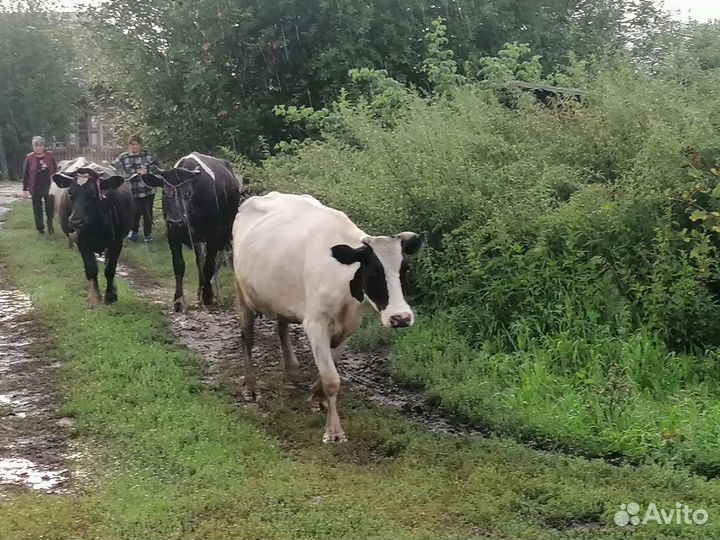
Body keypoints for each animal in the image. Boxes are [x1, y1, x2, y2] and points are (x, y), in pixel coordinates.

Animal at [52, 158, 133, 307]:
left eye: (93, 194)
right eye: (70, 193)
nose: (75, 221)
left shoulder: (117, 241)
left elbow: (110, 269)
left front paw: (110, 295)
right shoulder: (82, 241)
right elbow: (91, 269)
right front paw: (95, 298)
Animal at [140, 152, 241, 312]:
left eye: (188, 193)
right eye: (164, 192)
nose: (176, 221)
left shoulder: (212, 236)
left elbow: (209, 265)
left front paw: (208, 295)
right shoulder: (172, 234)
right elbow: (179, 265)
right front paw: (179, 299)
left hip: (226, 233)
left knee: (222, 260)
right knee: (200, 259)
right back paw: (201, 291)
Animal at [231, 192, 423, 443]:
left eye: (405, 270)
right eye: (373, 272)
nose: (400, 317)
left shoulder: (350, 327)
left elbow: (330, 369)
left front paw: (316, 397)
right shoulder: (316, 325)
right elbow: (332, 379)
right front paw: (333, 431)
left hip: (281, 295)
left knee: (281, 326)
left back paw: (291, 371)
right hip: (243, 294)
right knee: (247, 338)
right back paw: (251, 387)